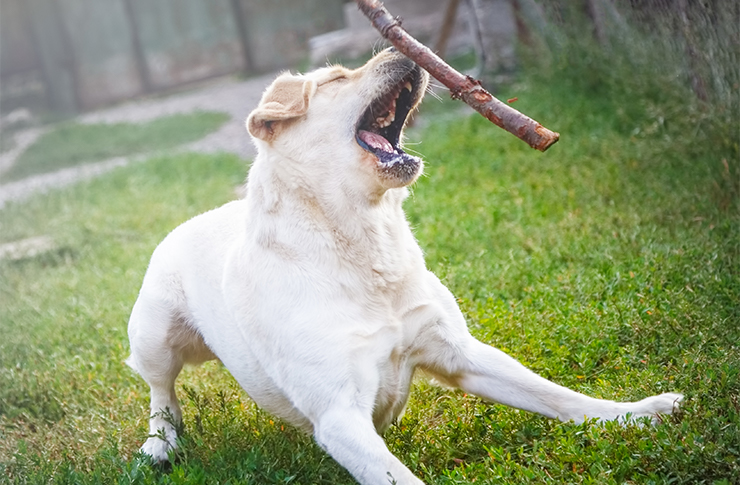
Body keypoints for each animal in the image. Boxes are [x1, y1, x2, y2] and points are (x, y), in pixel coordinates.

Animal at [125, 49, 684, 484]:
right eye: (335, 79)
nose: (410, 52)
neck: (361, 245)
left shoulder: (460, 353)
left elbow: (562, 398)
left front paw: (640, 413)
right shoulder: (340, 417)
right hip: (154, 332)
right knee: (161, 391)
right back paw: (161, 444)